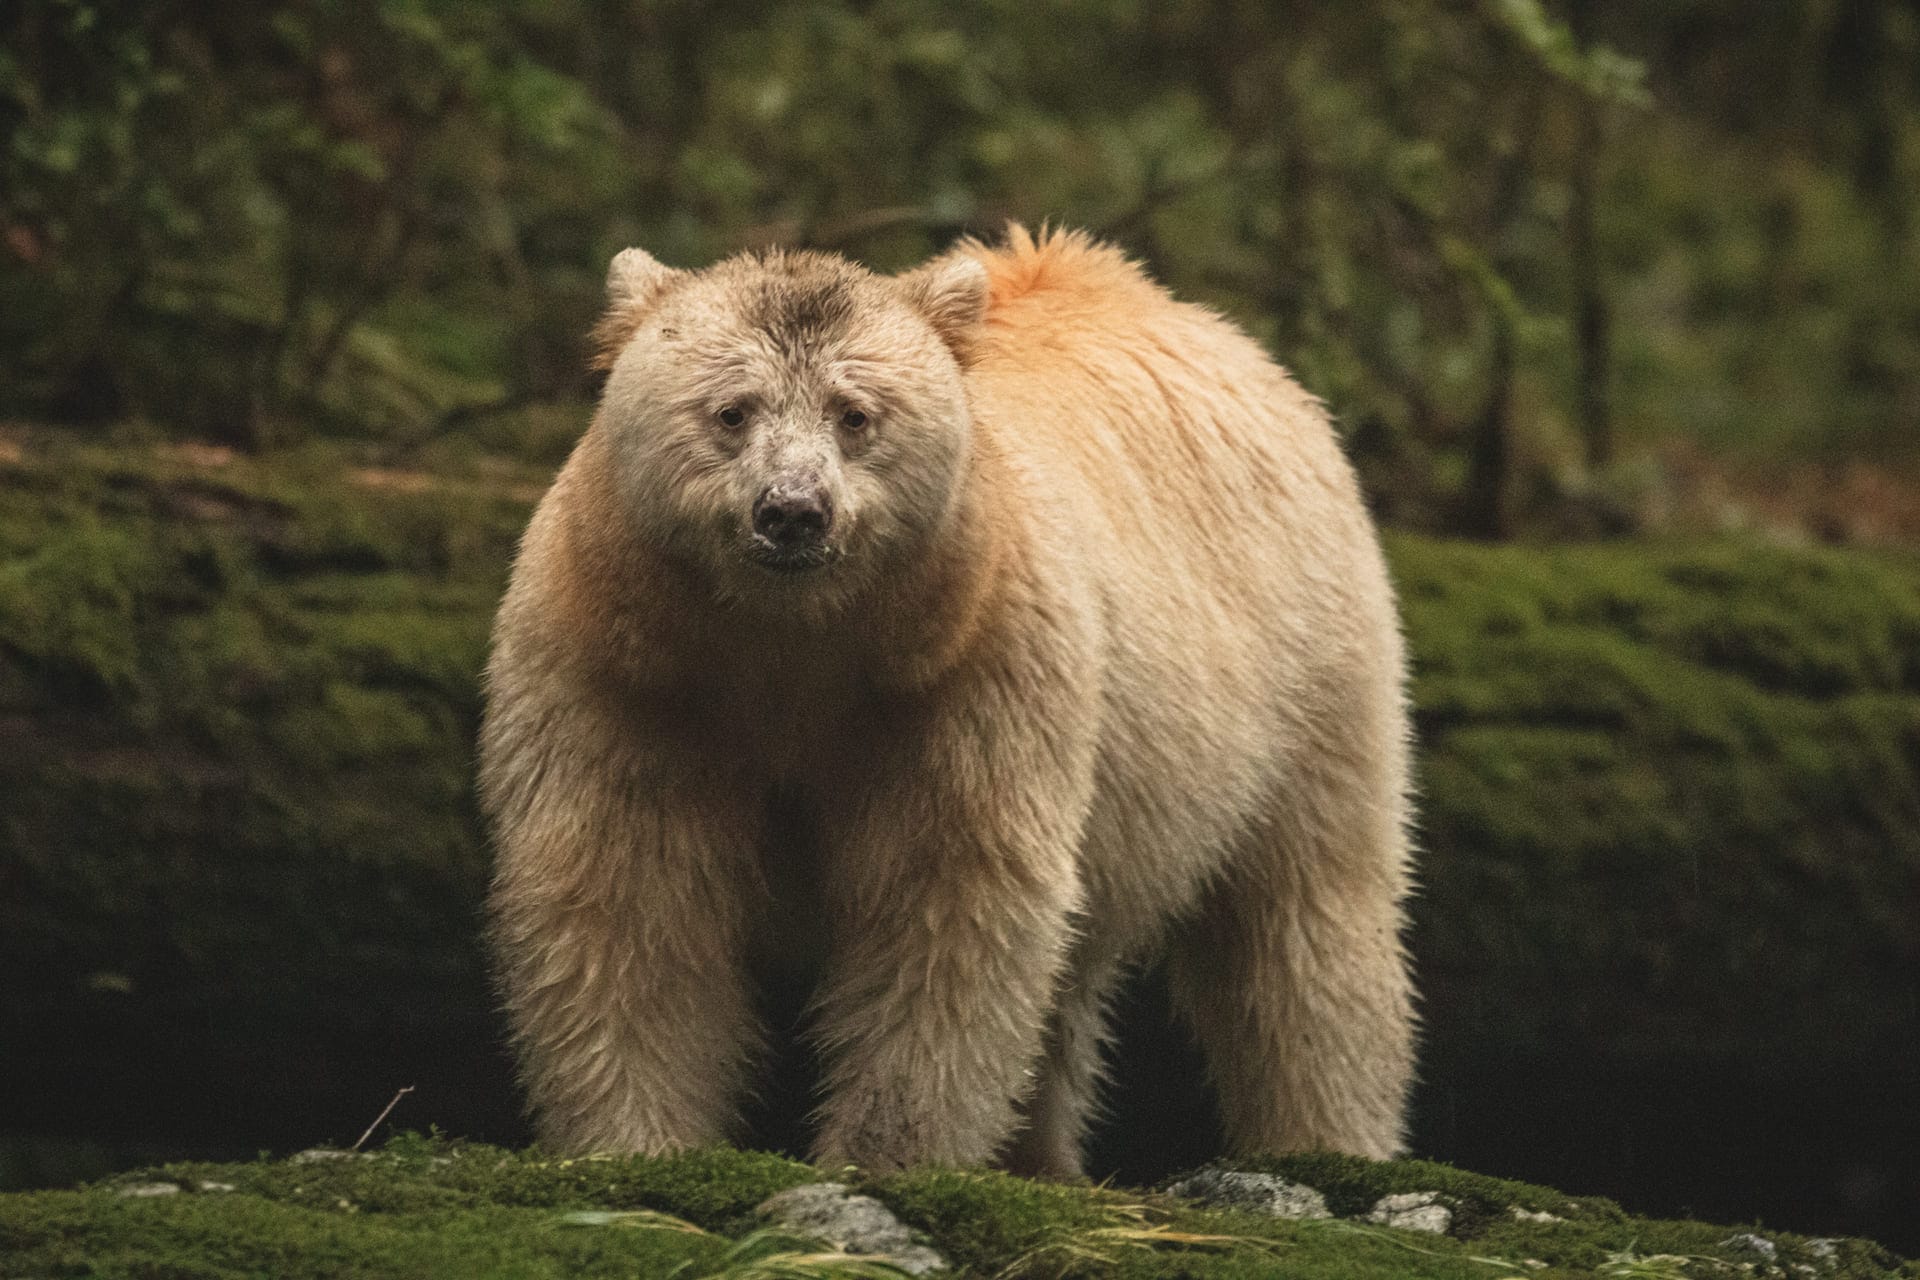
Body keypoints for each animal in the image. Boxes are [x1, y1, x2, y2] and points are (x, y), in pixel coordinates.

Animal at [479, 226, 1416, 1176]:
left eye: (855, 413)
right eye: (733, 409)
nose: (793, 512)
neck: (789, 642)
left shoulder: (970, 673)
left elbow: (947, 900)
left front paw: (885, 1153)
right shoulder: (626, 671)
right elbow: (625, 894)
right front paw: (636, 1144)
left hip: (1306, 661)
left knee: (1305, 919)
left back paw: (1326, 1136)